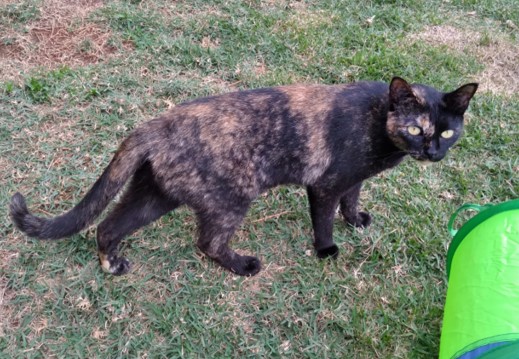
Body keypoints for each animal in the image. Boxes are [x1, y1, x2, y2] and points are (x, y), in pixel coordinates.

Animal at [9, 77, 480, 278]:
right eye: (417, 129)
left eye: (447, 132)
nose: (432, 151)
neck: (379, 121)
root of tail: (154, 125)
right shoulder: (325, 184)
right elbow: (325, 219)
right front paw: (327, 250)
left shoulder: (354, 178)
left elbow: (353, 198)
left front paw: (356, 219)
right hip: (232, 199)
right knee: (207, 243)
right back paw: (242, 266)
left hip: (155, 195)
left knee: (106, 227)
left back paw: (112, 264)